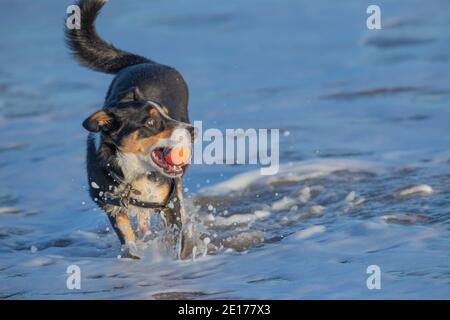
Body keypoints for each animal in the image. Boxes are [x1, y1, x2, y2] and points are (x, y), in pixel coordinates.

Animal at [64, 0, 195, 260]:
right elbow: (129, 242)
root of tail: (147, 63)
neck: (134, 174)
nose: (193, 130)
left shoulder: (170, 204)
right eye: (151, 123)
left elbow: (177, 239)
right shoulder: (114, 209)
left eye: (168, 114)